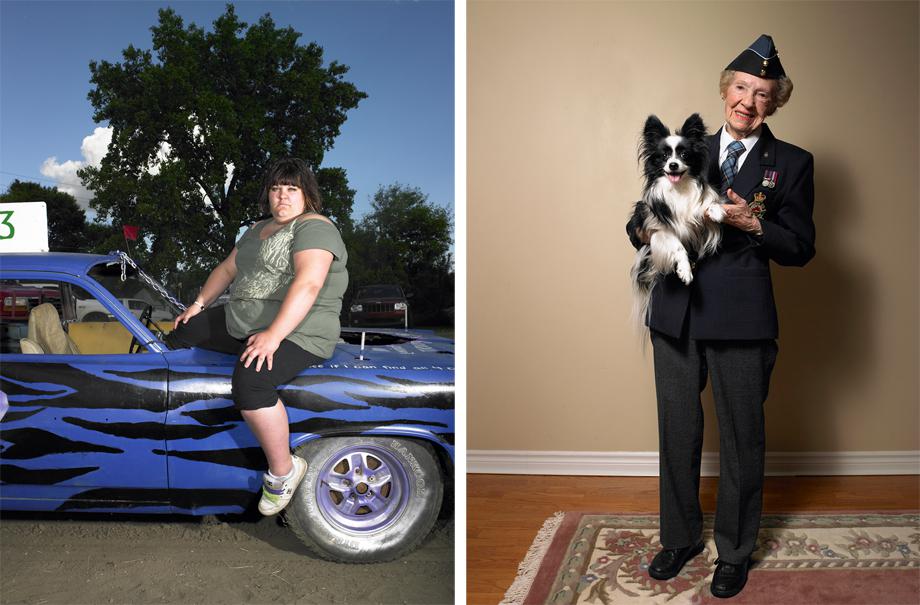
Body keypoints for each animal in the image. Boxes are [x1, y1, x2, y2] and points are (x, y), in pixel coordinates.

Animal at [624, 113, 724, 330]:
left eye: (684, 155)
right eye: (664, 157)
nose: (673, 165)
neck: (678, 189)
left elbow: (706, 204)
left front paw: (717, 211)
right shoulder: (656, 229)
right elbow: (678, 246)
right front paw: (685, 271)